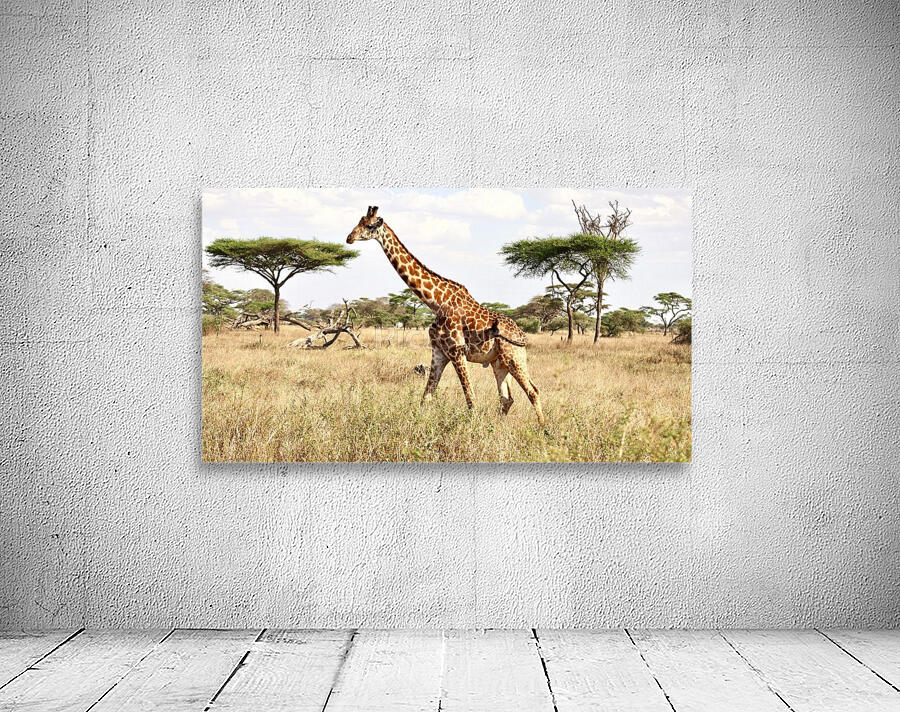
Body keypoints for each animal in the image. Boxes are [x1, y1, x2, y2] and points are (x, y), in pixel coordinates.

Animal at [347, 206, 545, 425]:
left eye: (370, 225)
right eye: (359, 221)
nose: (349, 238)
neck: (436, 302)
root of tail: (522, 334)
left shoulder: (457, 351)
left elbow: (471, 400)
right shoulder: (439, 352)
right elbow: (426, 397)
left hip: (514, 358)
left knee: (533, 392)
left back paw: (543, 429)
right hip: (498, 362)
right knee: (506, 398)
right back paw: (499, 427)